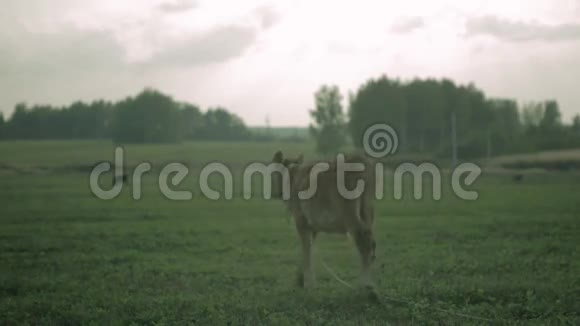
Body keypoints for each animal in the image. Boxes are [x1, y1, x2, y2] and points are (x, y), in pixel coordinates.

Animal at [270, 152, 378, 294]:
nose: (274, 193)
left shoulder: (301, 220)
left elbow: (306, 248)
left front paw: (307, 283)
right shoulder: (312, 226)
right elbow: (309, 248)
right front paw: (300, 279)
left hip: (351, 216)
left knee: (364, 243)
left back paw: (366, 285)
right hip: (368, 212)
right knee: (371, 241)